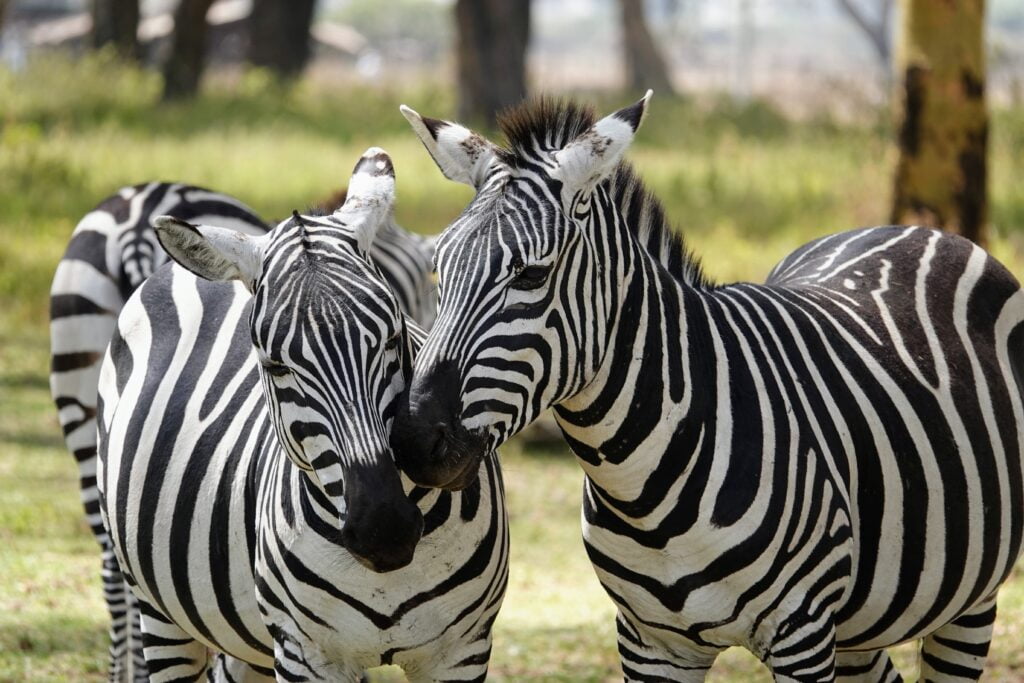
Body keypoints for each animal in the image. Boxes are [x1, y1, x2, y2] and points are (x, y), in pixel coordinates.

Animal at [95, 150, 507, 683]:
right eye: (274, 365)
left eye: (394, 337)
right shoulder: (305, 654)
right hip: (160, 611)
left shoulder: (461, 650)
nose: (385, 531)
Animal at [387, 97, 1024, 683]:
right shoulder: (648, 642)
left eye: (532, 274)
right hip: (861, 621)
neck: (645, 491)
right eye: (440, 269)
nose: (415, 441)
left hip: (969, 598)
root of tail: (913, 228)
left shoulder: (801, 632)